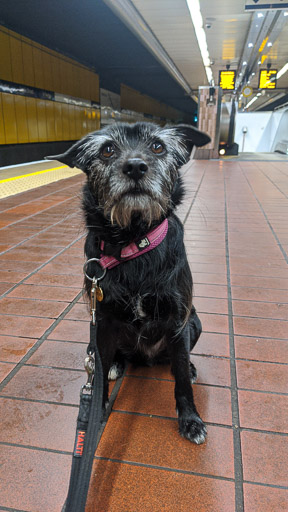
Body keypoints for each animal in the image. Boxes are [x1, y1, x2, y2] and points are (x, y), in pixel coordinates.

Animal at [48, 121, 210, 444]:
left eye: (158, 146)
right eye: (107, 149)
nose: (135, 166)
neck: (134, 243)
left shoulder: (178, 320)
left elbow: (182, 380)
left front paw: (190, 419)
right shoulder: (103, 320)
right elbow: (99, 376)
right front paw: (95, 415)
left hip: (194, 322)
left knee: (178, 359)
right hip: (95, 332)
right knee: (106, 357)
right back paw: (115, 365)